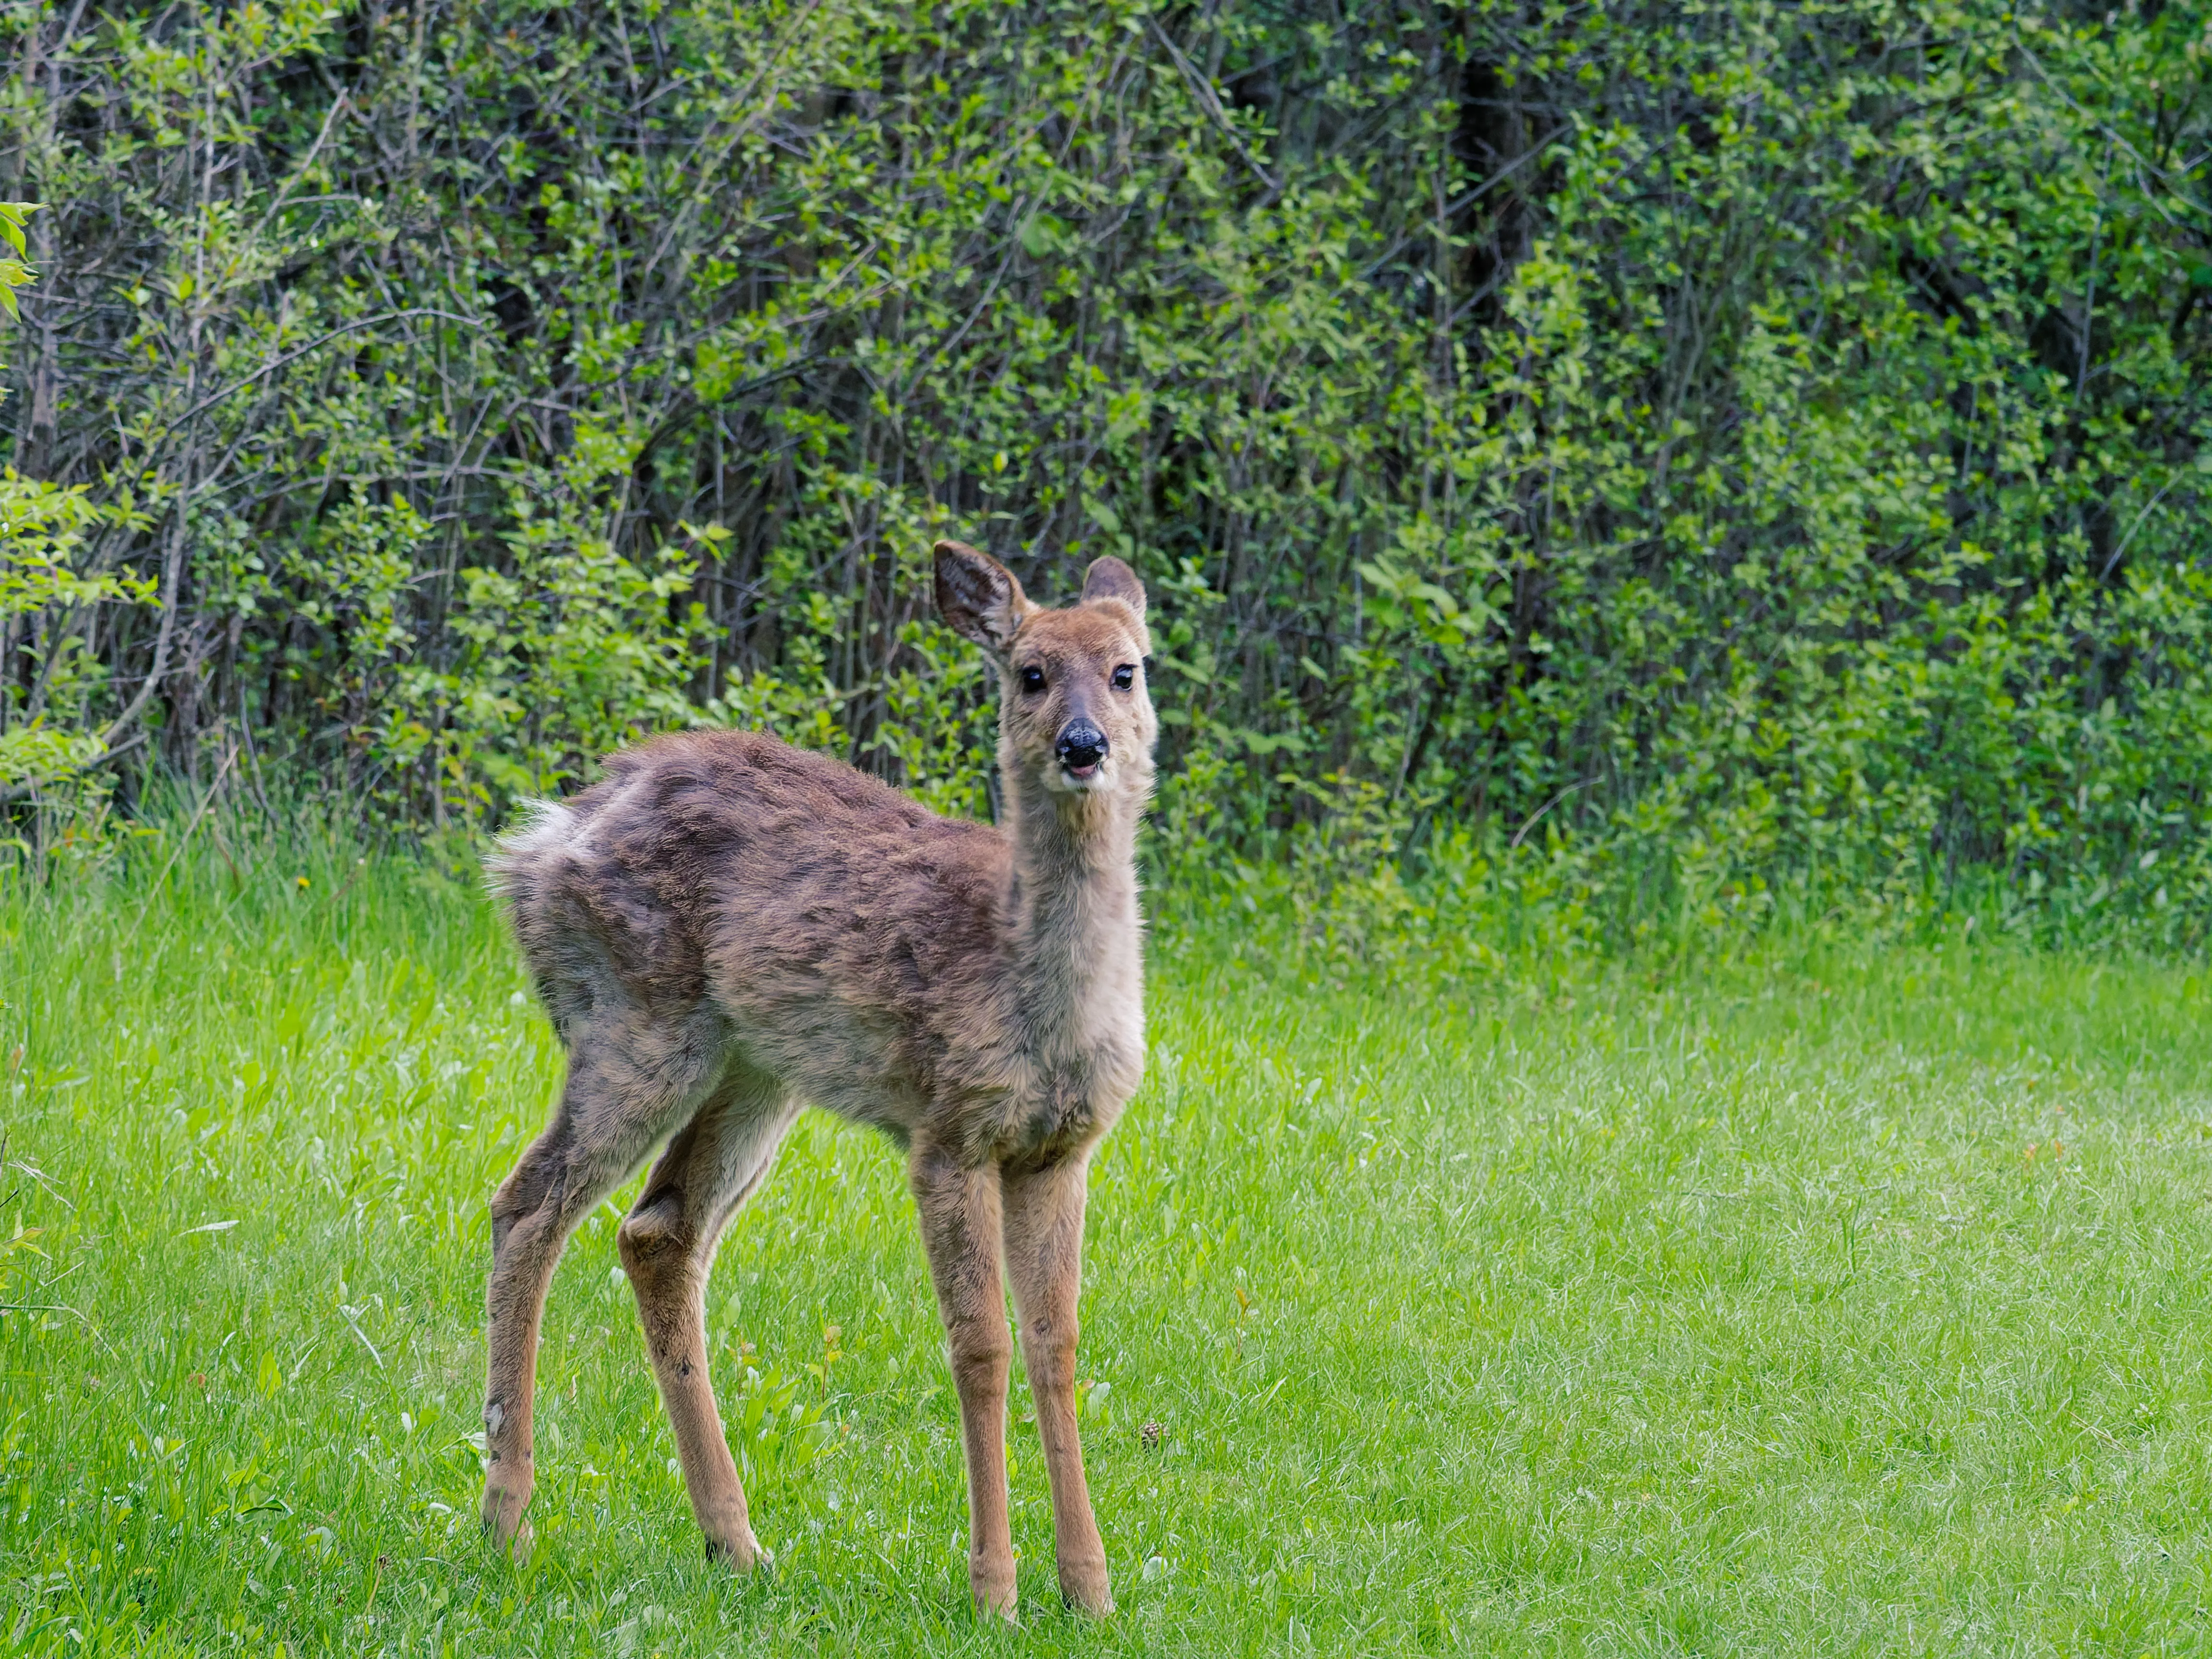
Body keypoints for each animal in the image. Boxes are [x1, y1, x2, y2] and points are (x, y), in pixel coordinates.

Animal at [476, 540, 1154, 1619]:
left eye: (1127, 669)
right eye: (1029, 674)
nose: (1083, 745)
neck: (1029, 987)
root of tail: (542, 840)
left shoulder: (1060, 1148)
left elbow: (1056, 1343)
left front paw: (1089, 1590)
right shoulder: (948, 1131)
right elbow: (982, 1346)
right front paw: (994, 1590)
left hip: (756, 1070)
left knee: (657, 1229)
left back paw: (737, 1544)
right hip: (636, 1022)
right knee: (528, 1205)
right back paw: (508, 1523)